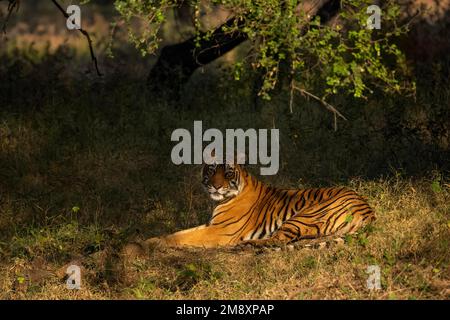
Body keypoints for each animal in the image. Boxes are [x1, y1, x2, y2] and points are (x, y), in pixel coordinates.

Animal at [143, 161, 372, 249]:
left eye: (227, 172)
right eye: (212, 170)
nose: (216, 186)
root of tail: (368, 209)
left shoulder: (219, 231)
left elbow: (182, 237)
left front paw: (150, 245)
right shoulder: (210, 225)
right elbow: (180, 233)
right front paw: (150, 240)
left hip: (305, 214)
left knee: (278, 240)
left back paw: (248, 244)